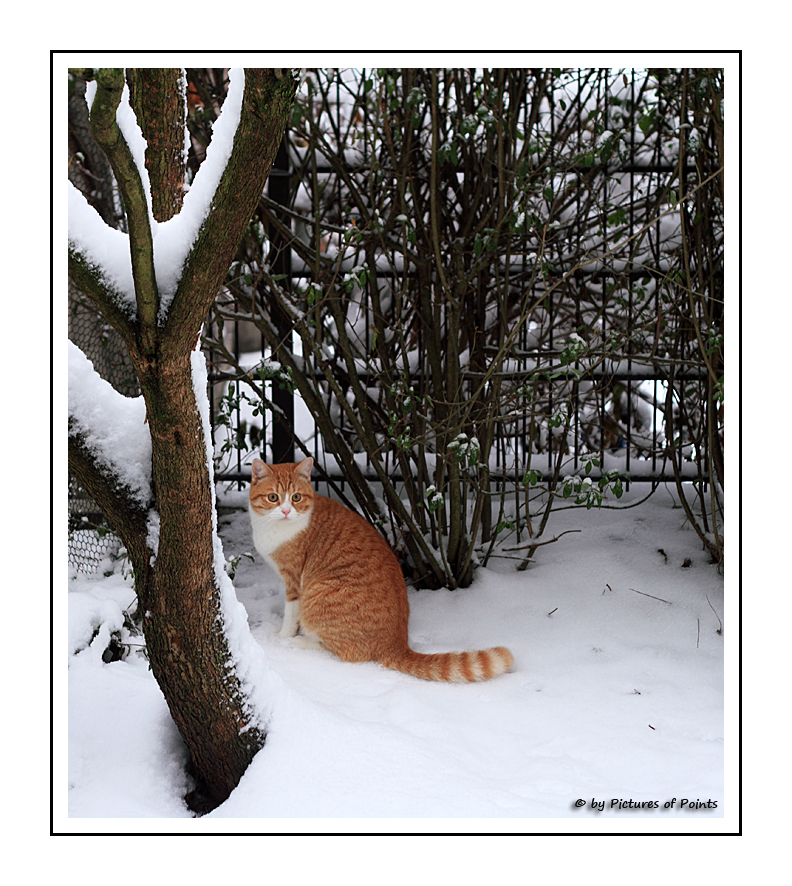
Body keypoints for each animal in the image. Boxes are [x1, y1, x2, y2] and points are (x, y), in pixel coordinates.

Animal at [249, 462, 512, 684]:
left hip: (316, 594)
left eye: (296, 497)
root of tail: (396, 643)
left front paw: (281, 638)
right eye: (273, 497)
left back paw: (301, 642)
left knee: (350, 653)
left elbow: (290, 613)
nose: (286, 511)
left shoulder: (294, 581)